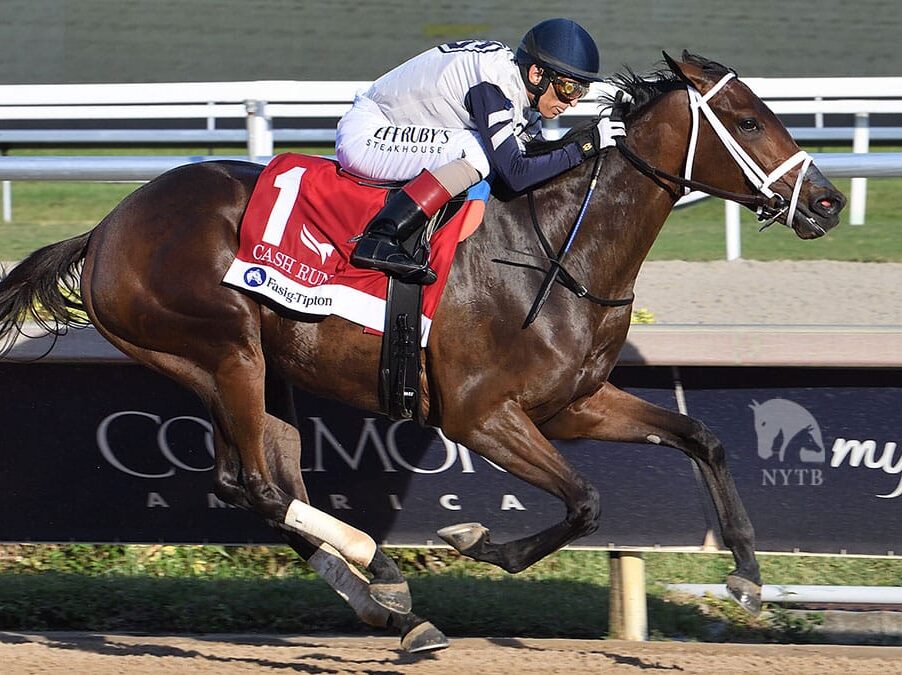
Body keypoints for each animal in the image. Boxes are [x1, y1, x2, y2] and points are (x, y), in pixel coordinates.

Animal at [0, 52, 848, 648]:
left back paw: (389, 603)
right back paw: (377, 568)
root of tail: (107, 227)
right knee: (260, 487)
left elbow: (701, 437)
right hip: (223, 350)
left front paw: (747, 576)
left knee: (264, 483)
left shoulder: (572, 404)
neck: (553, 249)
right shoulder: (480, 415)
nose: (830, 201)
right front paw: (473, 537)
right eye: (745, 121)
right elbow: (585, 501)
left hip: (254, 369)